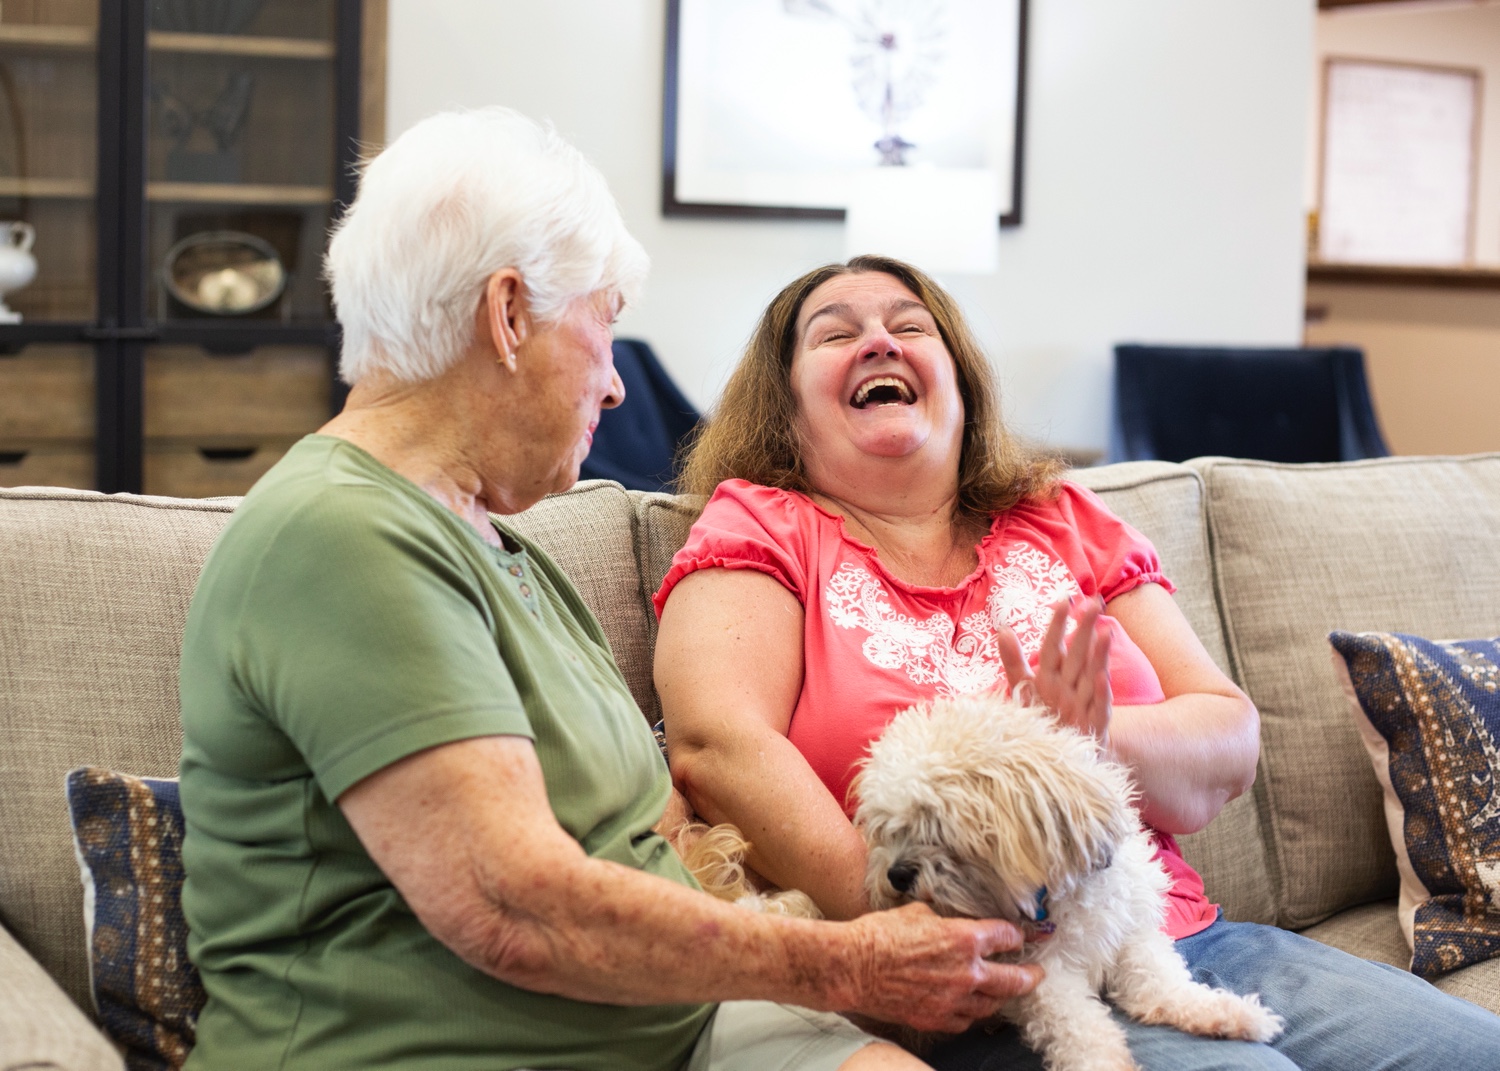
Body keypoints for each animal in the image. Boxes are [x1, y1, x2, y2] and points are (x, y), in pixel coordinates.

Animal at [852, 693, 1284, 1068]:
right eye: (887, 829)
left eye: (936, 824)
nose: (895, 874)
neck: (1064, 899)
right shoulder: (1041, 977)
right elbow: (1081, 1030)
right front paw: (1103, 1064)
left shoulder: (1133, 935)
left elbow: (1162, 985)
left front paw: (1228, 1012)